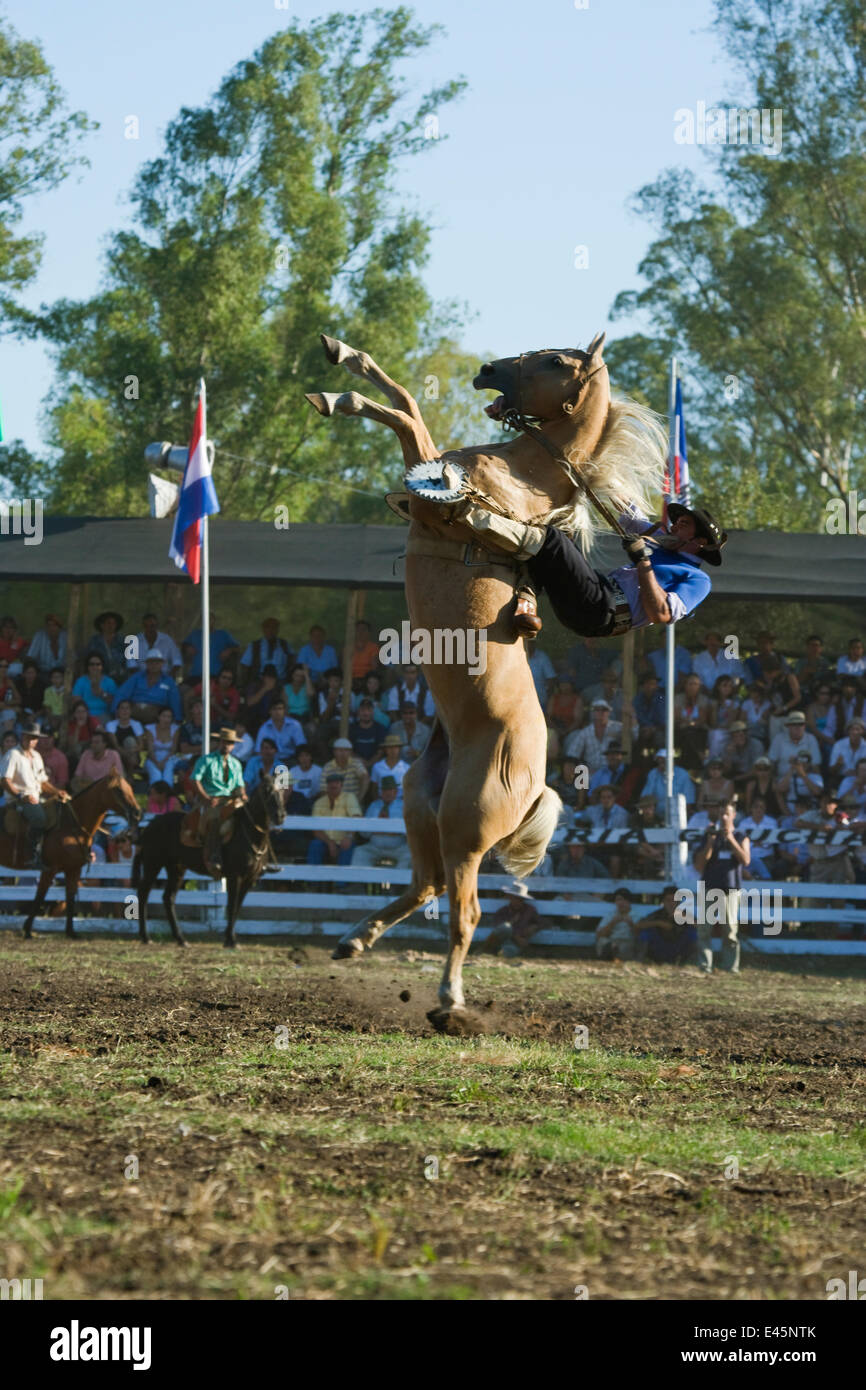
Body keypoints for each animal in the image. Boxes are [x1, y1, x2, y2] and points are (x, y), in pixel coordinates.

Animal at [0, 767, 142, 939]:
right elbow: (40, 896)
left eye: (130, 788)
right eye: (118, 790)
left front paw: (71, 932)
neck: (71, 825)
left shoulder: (74, 870)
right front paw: (27, 930)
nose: (137, 813)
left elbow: (70, 897)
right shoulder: (50, 870)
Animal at [132, 778, 286, 950]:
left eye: (282, 791)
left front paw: (230, 938)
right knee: (143, 893)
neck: (249, 834)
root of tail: (150, 825)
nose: (280, 815)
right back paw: (146, 937)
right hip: (153, 864)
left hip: (176, 868)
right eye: (266, 791)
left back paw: (181, 939)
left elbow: (238, 907)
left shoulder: (249, 879)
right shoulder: (235, 876)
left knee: (168, 898)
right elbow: (232, 906)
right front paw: (230, 940)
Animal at [304, 333, 664, 1034]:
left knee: (464, 911)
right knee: (428, 885)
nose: (488, 368)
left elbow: (409, 415)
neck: (525, 476)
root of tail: (534, 785)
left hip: (467, 826)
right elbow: (406, 406)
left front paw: (340, 392)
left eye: (558, 361)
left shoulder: (438, 503)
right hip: (422, 806)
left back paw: (450, 1001)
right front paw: (341, 363)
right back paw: (352, 940)